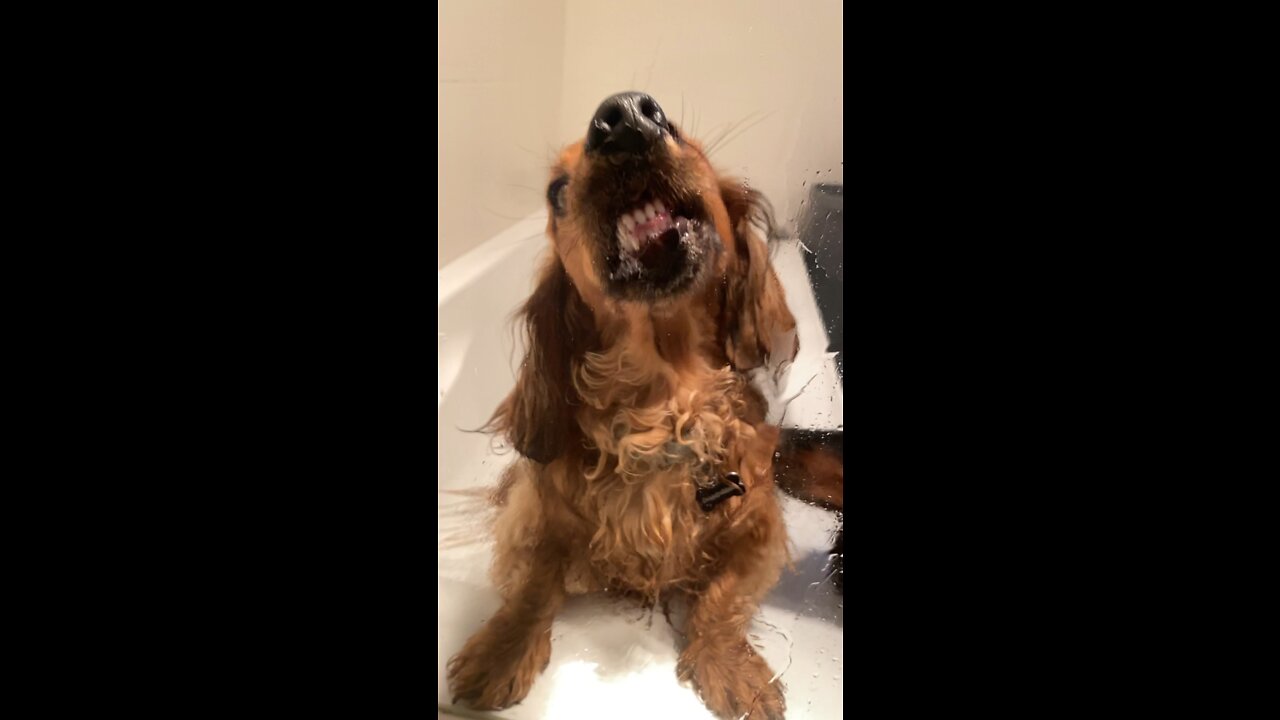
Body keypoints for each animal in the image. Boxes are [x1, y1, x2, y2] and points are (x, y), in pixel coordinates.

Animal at [445, 92, 793, 712]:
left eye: (679, 131)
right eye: (557, 192)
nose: (625, 115)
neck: (667, 405)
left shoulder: (763, 527)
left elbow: (723, 600)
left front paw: (731, 667)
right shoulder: (533, 514)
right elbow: (533, 585)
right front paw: (501, 651)